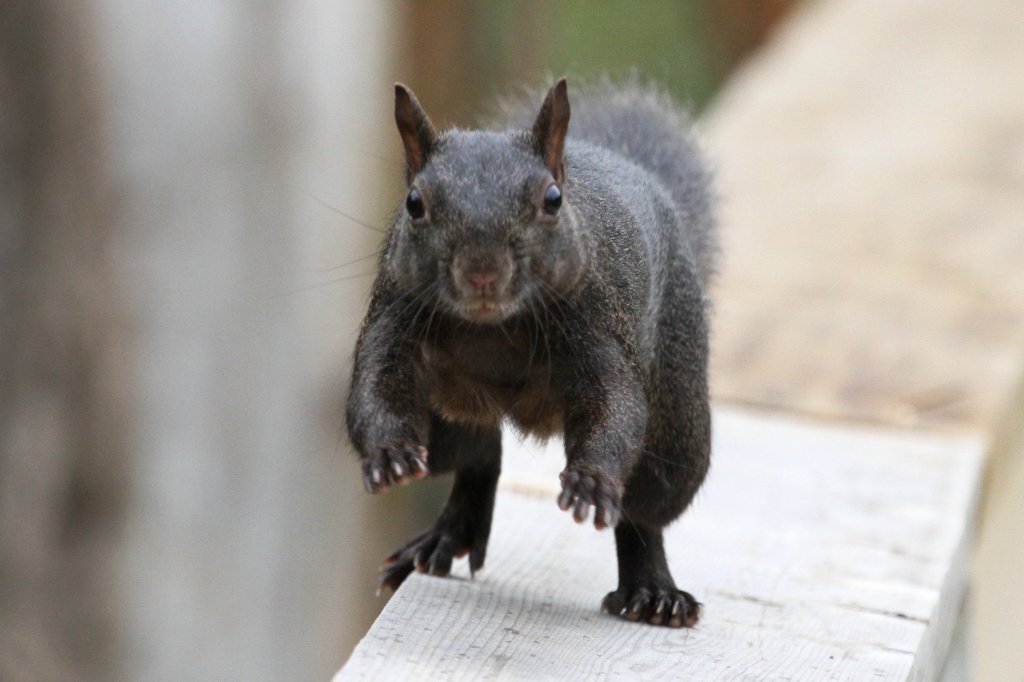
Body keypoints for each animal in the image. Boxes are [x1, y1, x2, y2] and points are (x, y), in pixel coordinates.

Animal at [348, 78, 716, 626]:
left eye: (552, 199)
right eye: (413, 203)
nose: (482, 271)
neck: (493, 330)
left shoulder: (599, 325)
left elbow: (616, 406)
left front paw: (590, 481)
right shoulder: (394, 315)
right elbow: (374, 386)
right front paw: (389, 455)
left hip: (677, 423)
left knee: (644, 514)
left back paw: (652, 589)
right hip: (445, 421)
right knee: (478, 458)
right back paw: (448, 533)